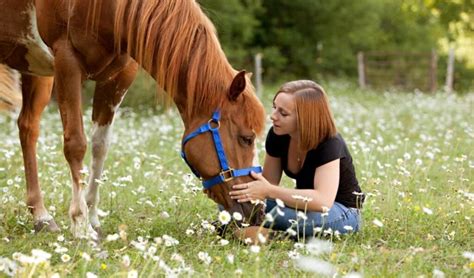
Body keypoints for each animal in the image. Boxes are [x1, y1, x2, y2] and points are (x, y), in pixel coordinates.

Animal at [0, 0, 264, 239]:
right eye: (246, 138)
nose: (258, 212)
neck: (105, 7)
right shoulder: (67, 62)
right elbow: (75, 144)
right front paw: (81, 224)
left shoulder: (119, 75)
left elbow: (100, 146)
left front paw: (93, 219)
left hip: (36, 69)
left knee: (28, 129)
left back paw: (41, 217)